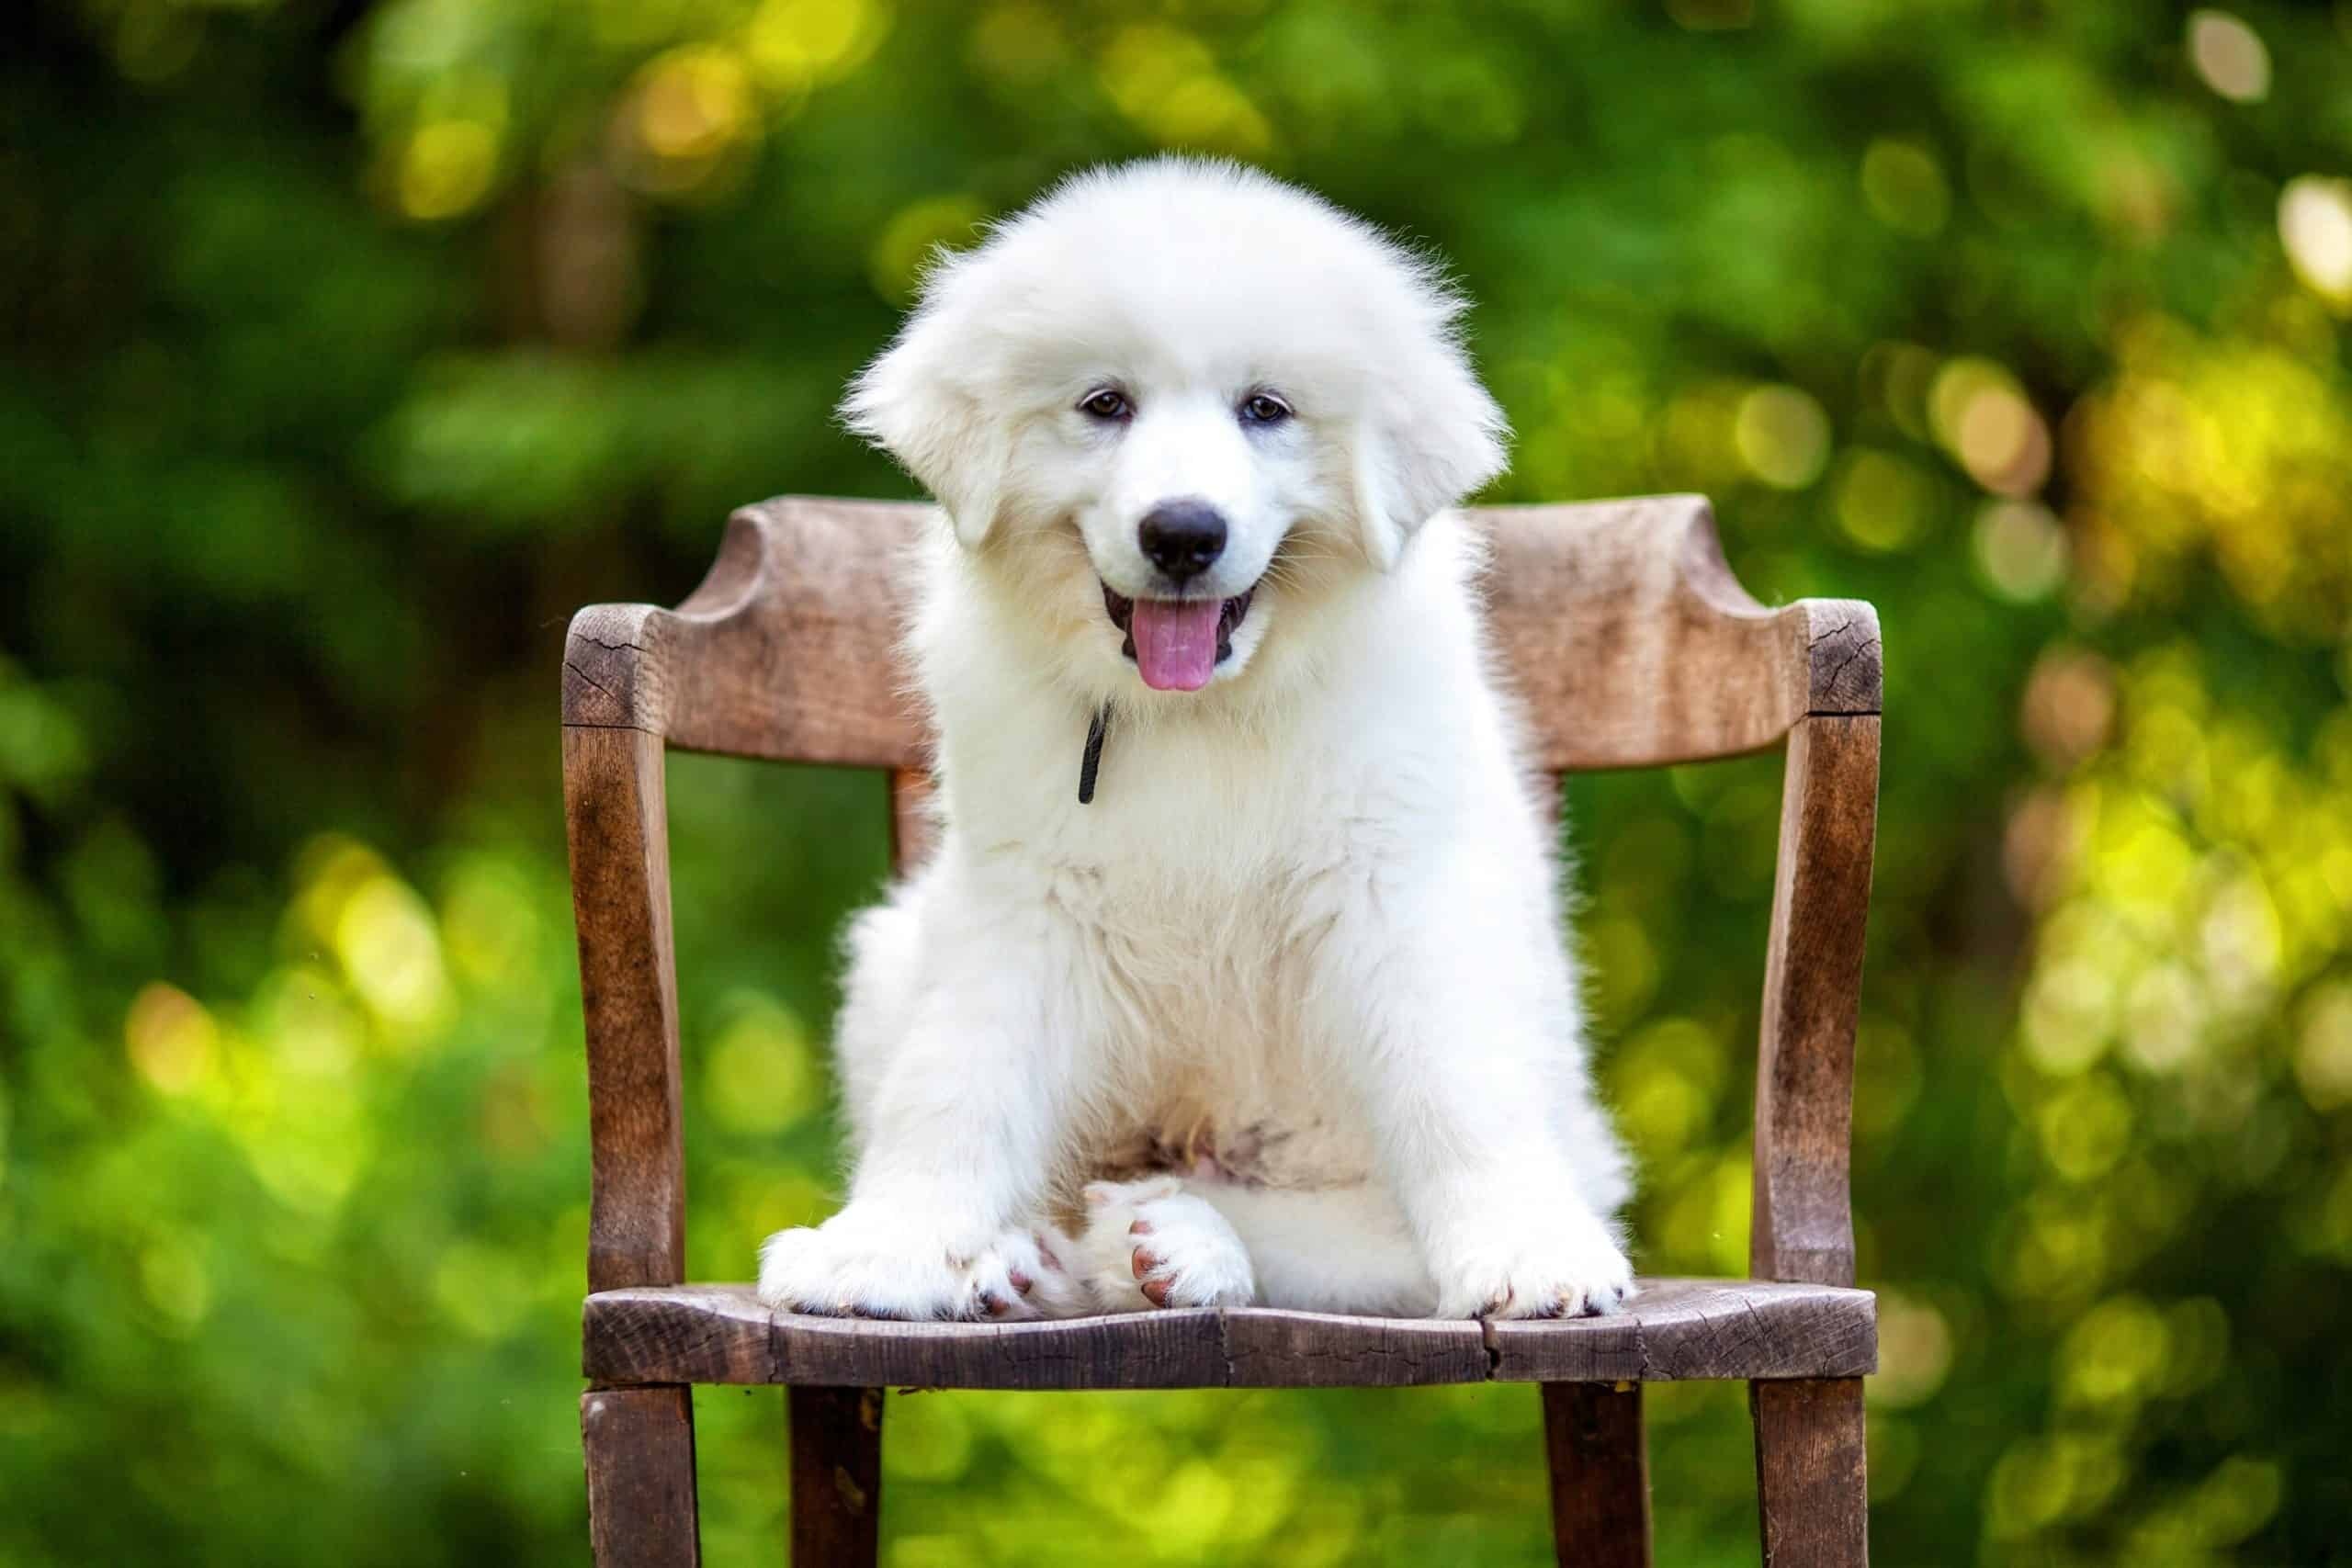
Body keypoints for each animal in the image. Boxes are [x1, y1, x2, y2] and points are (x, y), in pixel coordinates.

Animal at [757, 160, 1636, 1316]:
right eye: (1104, 405)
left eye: (1265, 410)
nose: (1182, 534)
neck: (1197, 714)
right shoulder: (1019, 894)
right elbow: (954, 1084)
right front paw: (886, 1250)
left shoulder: (1396, 886)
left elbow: (1456, 1089)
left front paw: (1532, 1255)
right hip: (891, 953)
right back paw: (1028, 1260)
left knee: (1361, 1238)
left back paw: (1170, 1237)